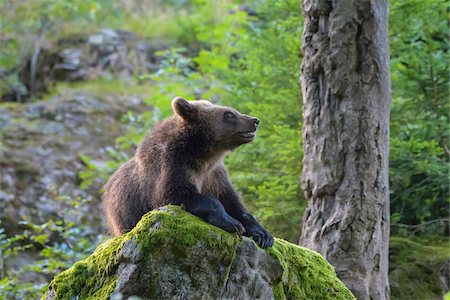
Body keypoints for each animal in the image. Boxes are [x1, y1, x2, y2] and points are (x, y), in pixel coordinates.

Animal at [103, 96, 274, 248]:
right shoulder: (173, 167)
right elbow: (178, 195)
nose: (254, 120)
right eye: (229, 114)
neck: (204, 156)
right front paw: (232, 223)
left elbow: (232, 201)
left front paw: (263, 234)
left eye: (233, 110)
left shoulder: (214, 176)